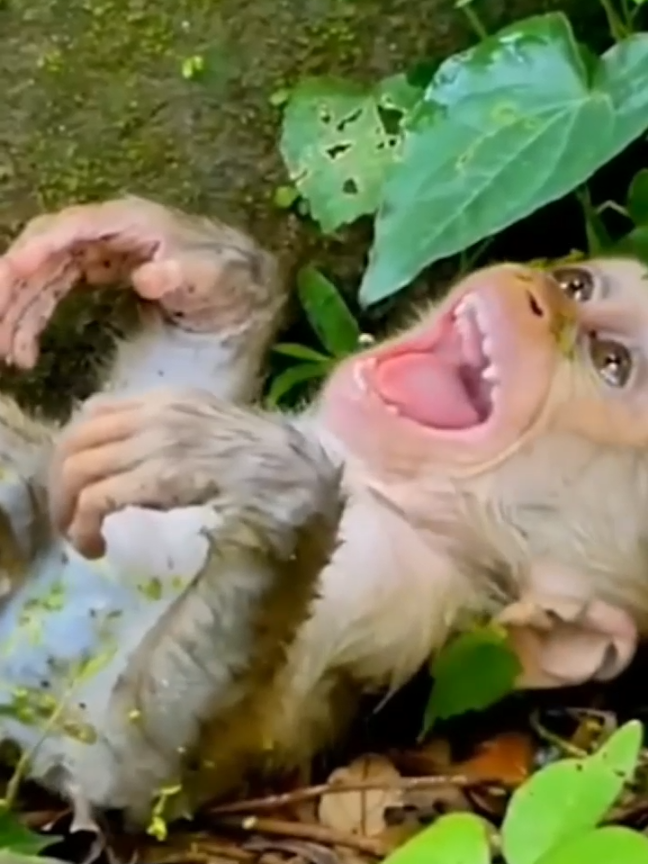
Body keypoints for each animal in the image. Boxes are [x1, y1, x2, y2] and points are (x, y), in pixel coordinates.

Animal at [0, 197, 645, 828]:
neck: (381, 483)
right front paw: (199, 270)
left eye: (610, 361)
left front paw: (261, 471)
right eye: (578, 285)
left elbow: (126, 773)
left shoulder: (399, 588)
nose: (542, 295)